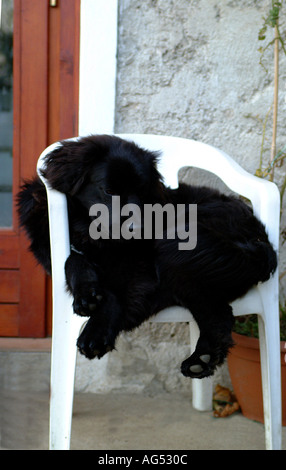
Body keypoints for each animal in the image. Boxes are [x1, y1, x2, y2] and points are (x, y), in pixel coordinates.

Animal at [16, 132, 278, 378]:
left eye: (142, 192)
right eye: (109, 190)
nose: (138, 228)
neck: (92, 235)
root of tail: (261, 241)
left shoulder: (143, 270)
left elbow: (116, 293)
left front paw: (96, 332)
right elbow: (73, 259)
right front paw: (87, 294)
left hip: (177, 248)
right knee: (219, 314)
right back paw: (202, 359)